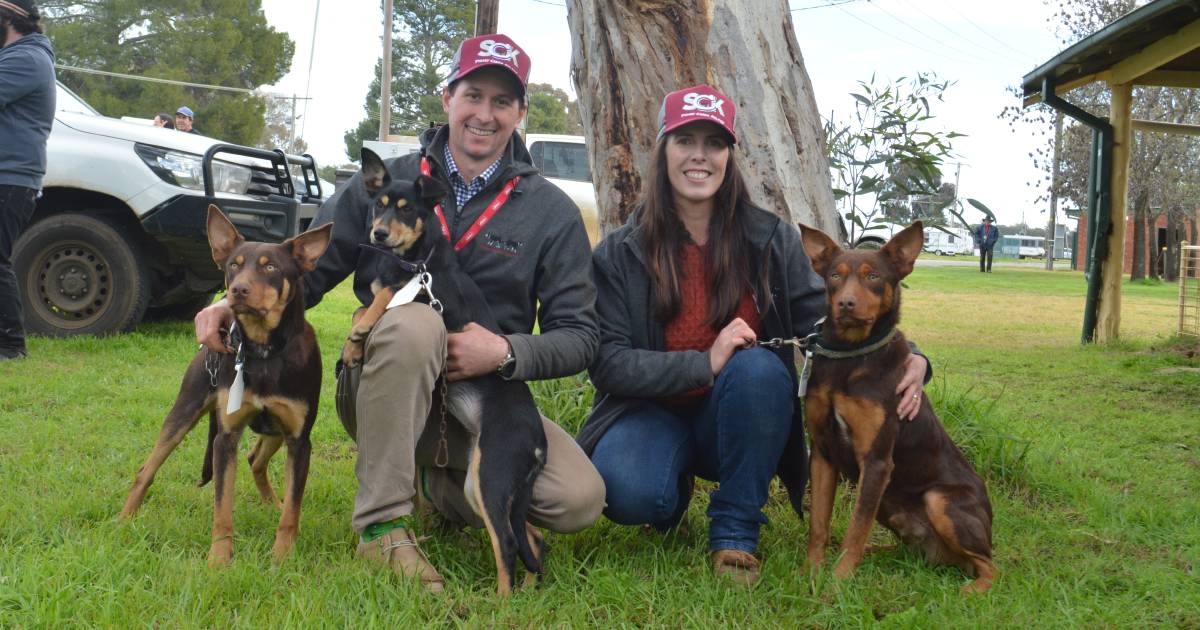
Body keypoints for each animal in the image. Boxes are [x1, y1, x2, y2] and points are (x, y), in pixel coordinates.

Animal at [121, 205, 333, 564]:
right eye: (234, 265)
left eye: (271, 267)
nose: (238, 291)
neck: (264, 352)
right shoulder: (226, 437)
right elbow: (222, 507)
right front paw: (219, 560)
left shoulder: (298, 439)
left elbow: (292, 511)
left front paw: (281, 559)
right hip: (183, 413)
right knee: (145, 471)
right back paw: (123, 521)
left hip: (275, 431)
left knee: (257, 461)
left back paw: (271, 504)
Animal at [338, 147, 544, 595]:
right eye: (378, 206)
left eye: (406, 208)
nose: (379, 234)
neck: (415, 261)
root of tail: (538, 444)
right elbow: (365, 305)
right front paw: (352, 344)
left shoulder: (425, 294)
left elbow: (383, 297)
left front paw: (362, 330)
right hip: (486, 485)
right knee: (532, 539)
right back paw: (528, 591)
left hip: (491, 477)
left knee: (507, 543)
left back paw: (502, 602)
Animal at [796, 222, 993, 595]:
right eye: (834, 275)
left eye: (873, 276)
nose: (845, 303)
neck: (850, 356)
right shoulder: (822, 454)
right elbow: (819, 525)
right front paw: (810, 575)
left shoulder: (876, 460)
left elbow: (855, 529)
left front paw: (837, 584)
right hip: (891, 507)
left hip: (938, 500)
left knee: (992, 566)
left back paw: (969, 590)